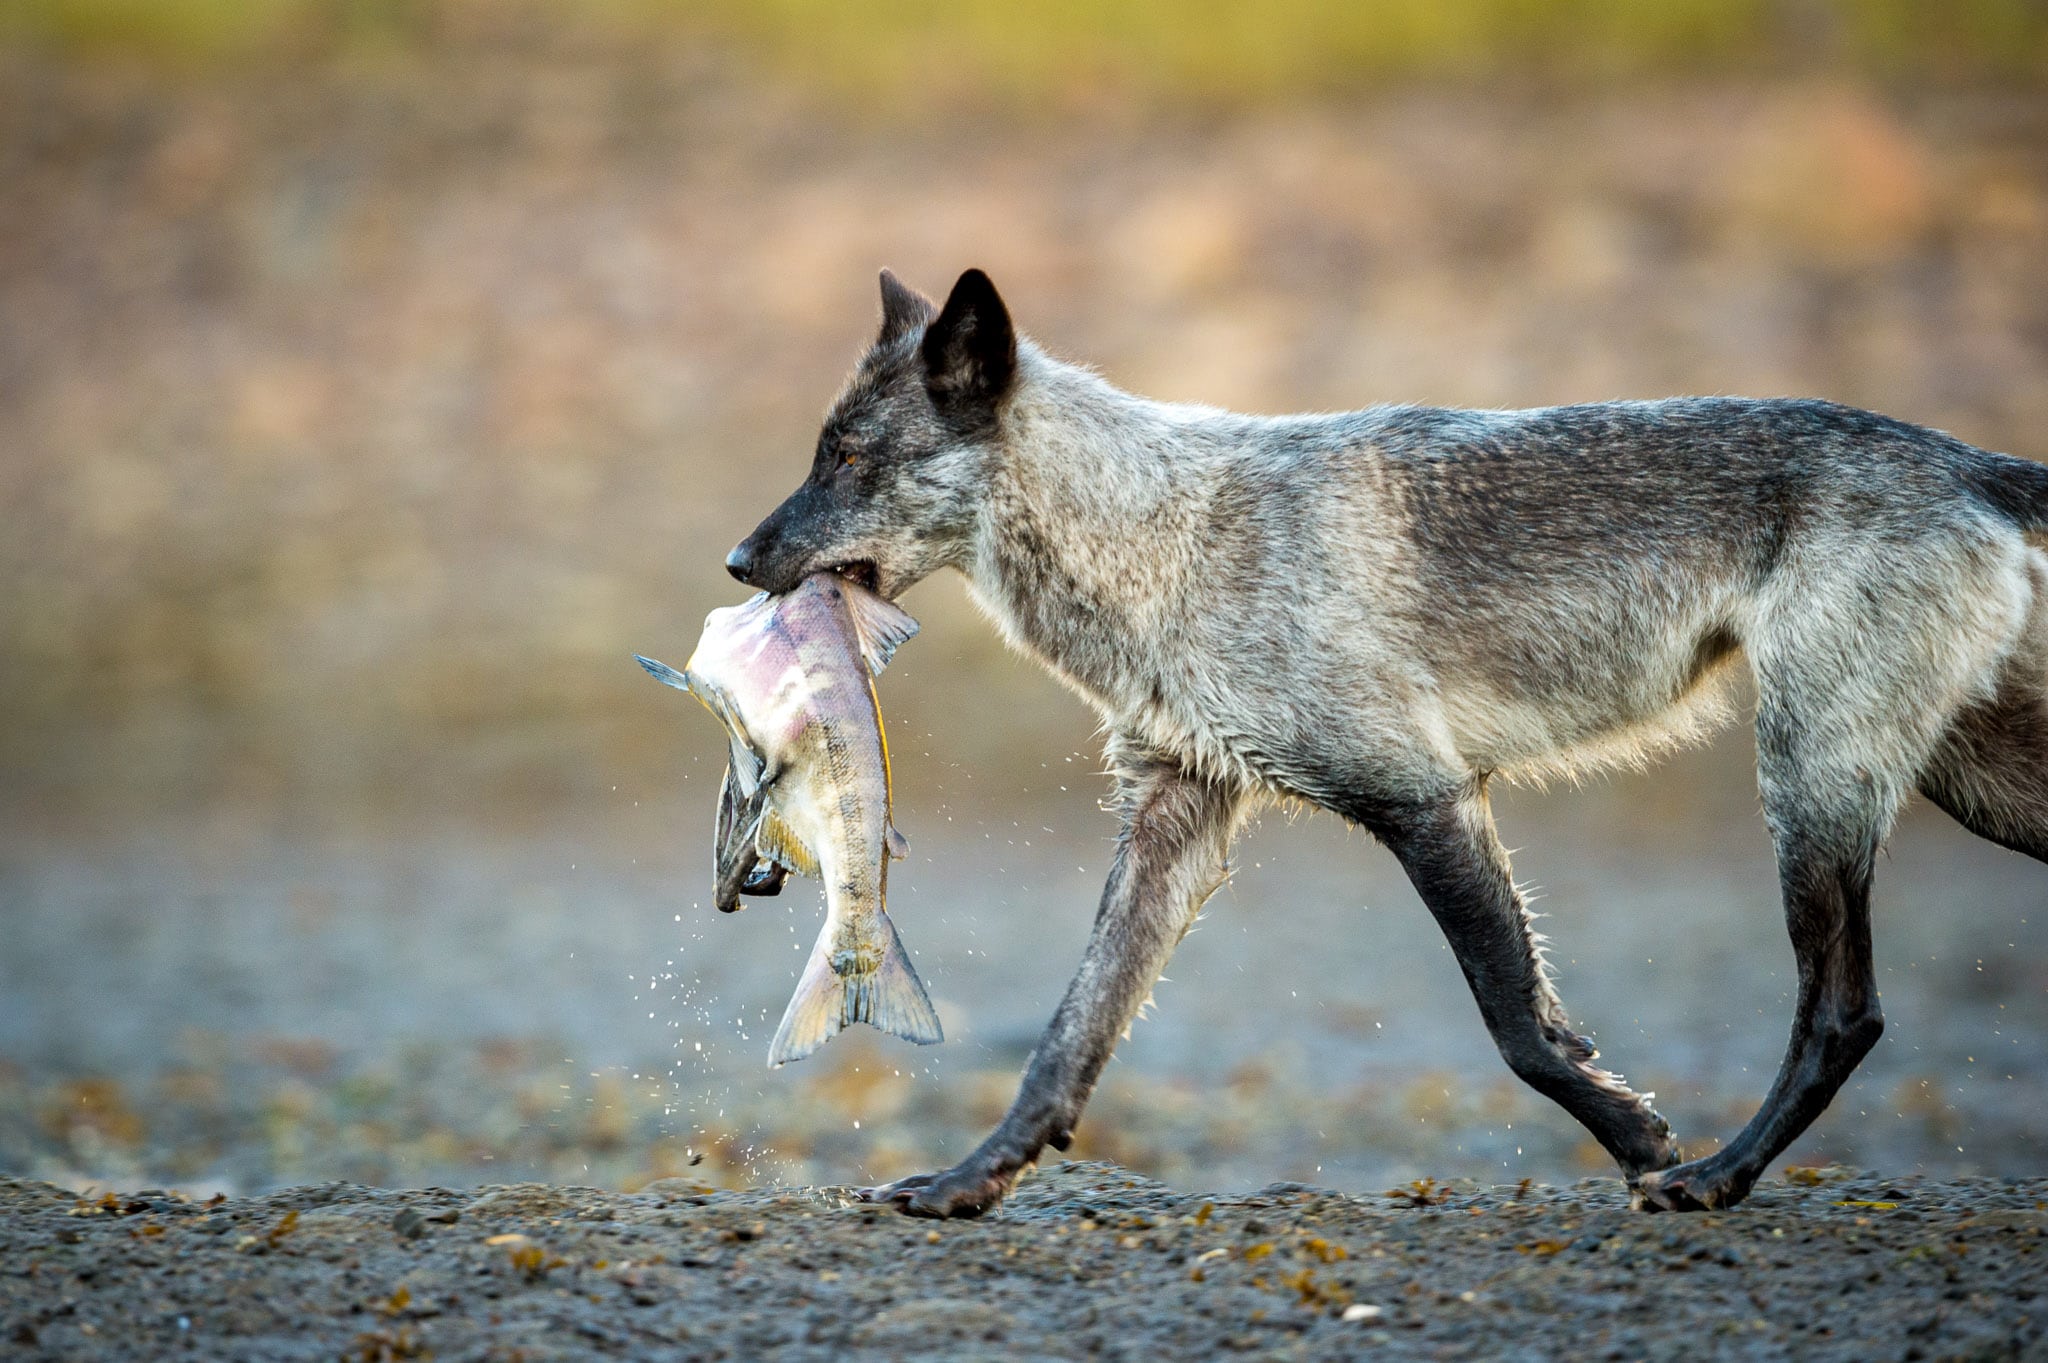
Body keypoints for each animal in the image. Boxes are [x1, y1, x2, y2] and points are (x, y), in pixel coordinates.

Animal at [724, 261, 2048, 1211]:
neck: (1168, 541)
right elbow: (1068, 1039)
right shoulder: (1175, 818)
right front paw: (967, 1183)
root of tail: (1965, 462)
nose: (736, 561)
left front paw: (1640, 1144)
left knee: (1843, 1011)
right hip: (1968, 784)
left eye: (848, 456)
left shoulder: (1421, 798)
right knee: (1853, 1007)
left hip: (1814, 786)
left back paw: (1719, 1177)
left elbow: (1518, 1026)